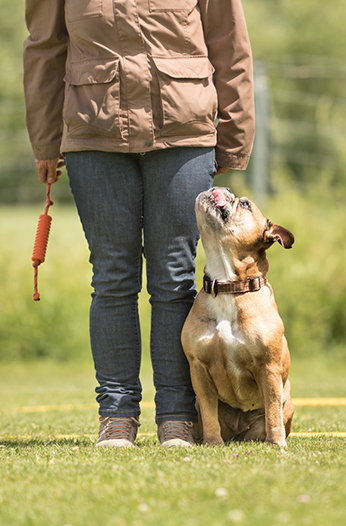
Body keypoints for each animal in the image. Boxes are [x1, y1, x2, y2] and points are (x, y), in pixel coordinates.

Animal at [181, 188, 294, 448]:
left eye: (245, 204)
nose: (226, 190)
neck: (227, 284)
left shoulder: (268, 368)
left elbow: (273, 410)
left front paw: (277, 443)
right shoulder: (198, 368)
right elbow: (209, 413)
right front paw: (213, 442)